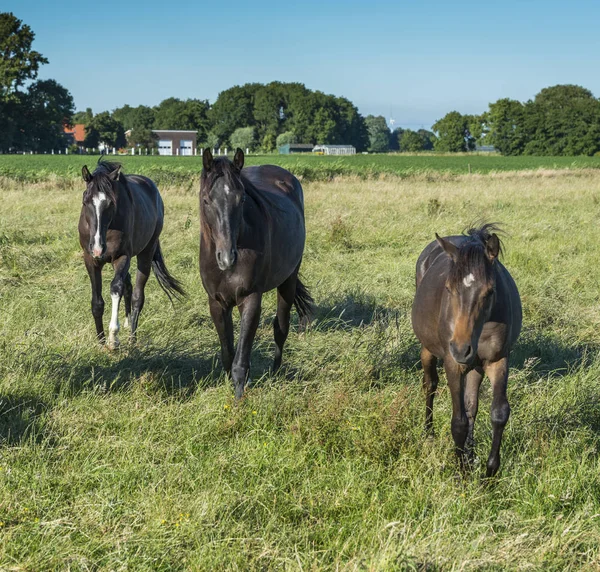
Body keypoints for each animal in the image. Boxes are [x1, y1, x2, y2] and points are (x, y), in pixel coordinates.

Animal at [78, 159, 184, 350]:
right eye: (86, 201)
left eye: (111, 203)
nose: (98, 248)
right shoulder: (90, 260)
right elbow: (97, 302)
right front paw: (101, 342)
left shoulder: (122, 257)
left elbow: (116, 288)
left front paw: (113, 339)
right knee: (128, 286)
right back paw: (127, 323)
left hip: (146, 253)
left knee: (136, 296)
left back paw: (132, 338)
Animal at [200, 147, 314, 398]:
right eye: (206, 200)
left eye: (242, 198)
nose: (227, 258)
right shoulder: (217, 303)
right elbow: (228, 353)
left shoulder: (250, 299)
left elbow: (240, 362)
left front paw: (239, 399)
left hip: (288, 280)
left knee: (281, 328)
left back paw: (276, 371)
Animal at [410, 225, 524, 478]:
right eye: (448, 289)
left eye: (490, 291)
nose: (461, 349)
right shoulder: (453, 364)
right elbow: (458, 422)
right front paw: (461, 472)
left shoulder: (498, 361)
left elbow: (498, 413)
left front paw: (489, 474)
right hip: (429, 350)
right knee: (430, 385)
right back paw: (429, 433)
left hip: (476, 366)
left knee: (472, 405)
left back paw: (470, 453)